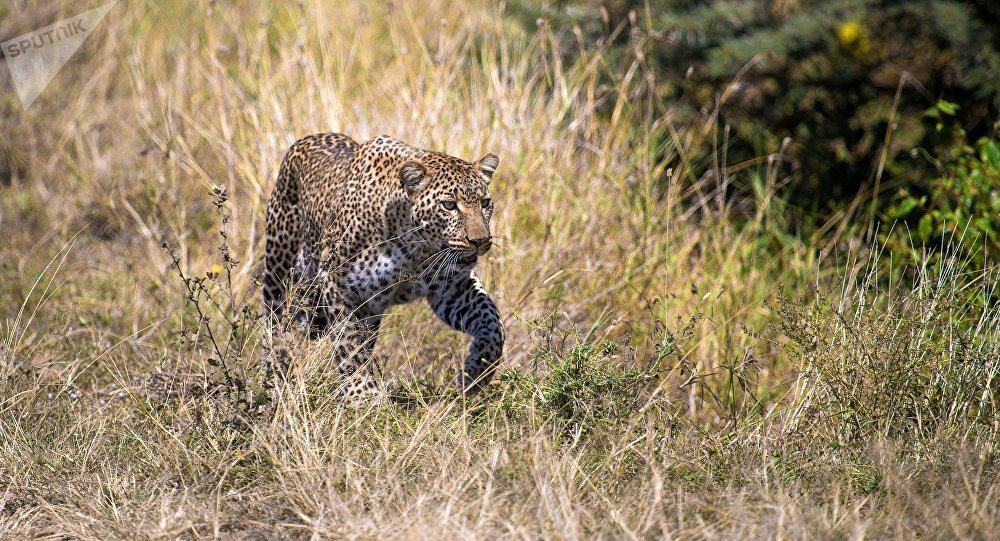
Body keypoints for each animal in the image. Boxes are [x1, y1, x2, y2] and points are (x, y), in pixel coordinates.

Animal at [262, 132, 504, 398]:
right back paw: (274, 373)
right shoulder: (338, 285)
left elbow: (493, 324)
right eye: (449, 205)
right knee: (274, 323)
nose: (480, 241)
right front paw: (362, 395)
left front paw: (476, 373)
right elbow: (349, 344)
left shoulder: (451, 288)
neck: (416, 250)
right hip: (280, 266)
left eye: (485, 203)